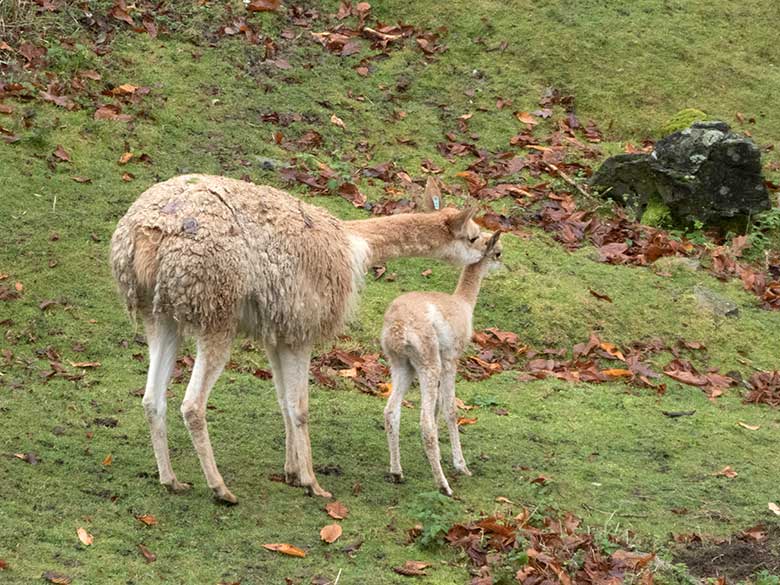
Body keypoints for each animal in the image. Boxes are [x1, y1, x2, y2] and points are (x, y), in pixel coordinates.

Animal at [112, 173, 484, 502]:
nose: (490, 250)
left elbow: (283, 401)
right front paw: (312, 483)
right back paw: (220, 489)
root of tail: (146, 234)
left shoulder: (278, 332)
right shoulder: (304, 325)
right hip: (215, 312)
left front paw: (291, 472)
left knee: (151, 399)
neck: (354, 245)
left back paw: (171, 480)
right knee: (192, 405)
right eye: (474, 237)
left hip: (160, 316)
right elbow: (301, 407)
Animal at [380, 230, 502, 496]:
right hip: (429, 363)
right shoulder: (451, 360)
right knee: (424, 422)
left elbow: (437, 409)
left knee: (391, 411)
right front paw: (461, 465)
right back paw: (444, 486)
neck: (463, 303)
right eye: (498, 251)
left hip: (402, 365)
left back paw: (397, 472)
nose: (502, 263)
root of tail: (398, 327)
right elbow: (450, 409)